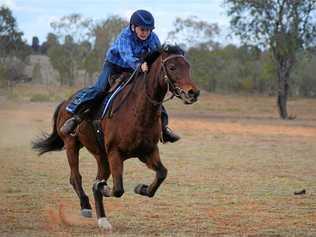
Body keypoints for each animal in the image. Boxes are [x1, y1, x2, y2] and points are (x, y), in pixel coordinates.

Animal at [32, 44, 200, 230]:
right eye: (172, 67)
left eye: (188, 66)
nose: (193, 93)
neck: (138, 112)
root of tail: (65, 103)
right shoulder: (115, 153)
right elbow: (118, 189)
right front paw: (103, 188)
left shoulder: (148, 152)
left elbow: (162, 174)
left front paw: (141, 188)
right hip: (72, 145)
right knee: (76, 177)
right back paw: (86, 206)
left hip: (101, 157)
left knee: (94, 178)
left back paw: (103, 219)